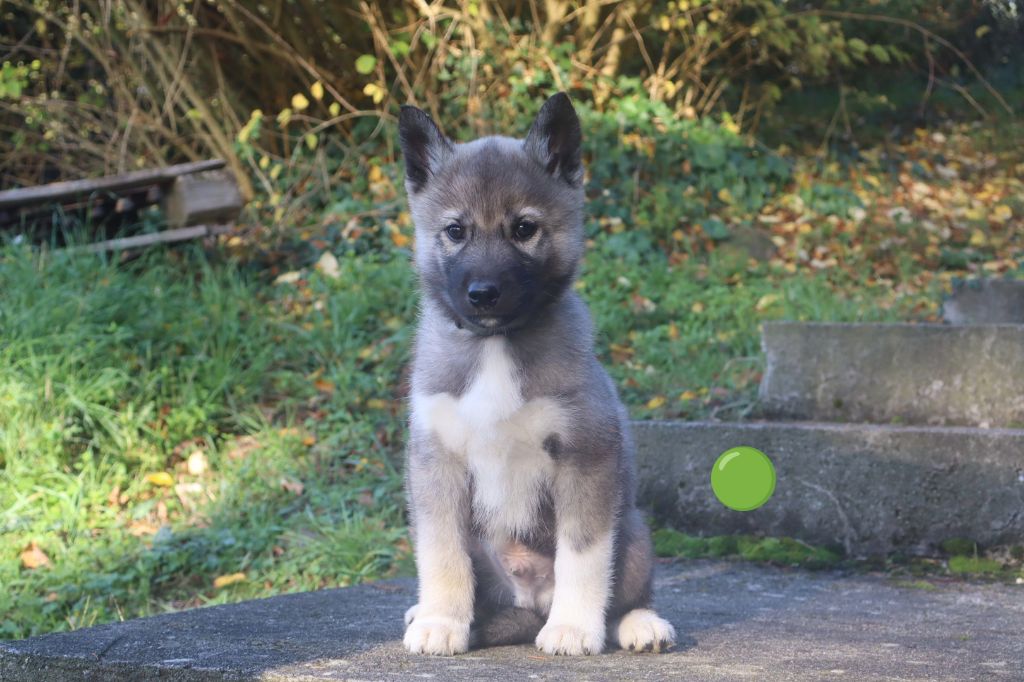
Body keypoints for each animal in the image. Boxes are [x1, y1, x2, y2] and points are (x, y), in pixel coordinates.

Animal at [398, 93, 676, 656]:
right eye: (455, 231)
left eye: (524, 229)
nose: (483, 293)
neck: (496, 347)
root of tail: (531, 602)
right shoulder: (435, 462)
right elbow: (441, 553)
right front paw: (440, 620)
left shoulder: (585, 455)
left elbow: (584, 556)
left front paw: (573, 628)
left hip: (634, 532)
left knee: (626, 593)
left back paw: (638, 623)